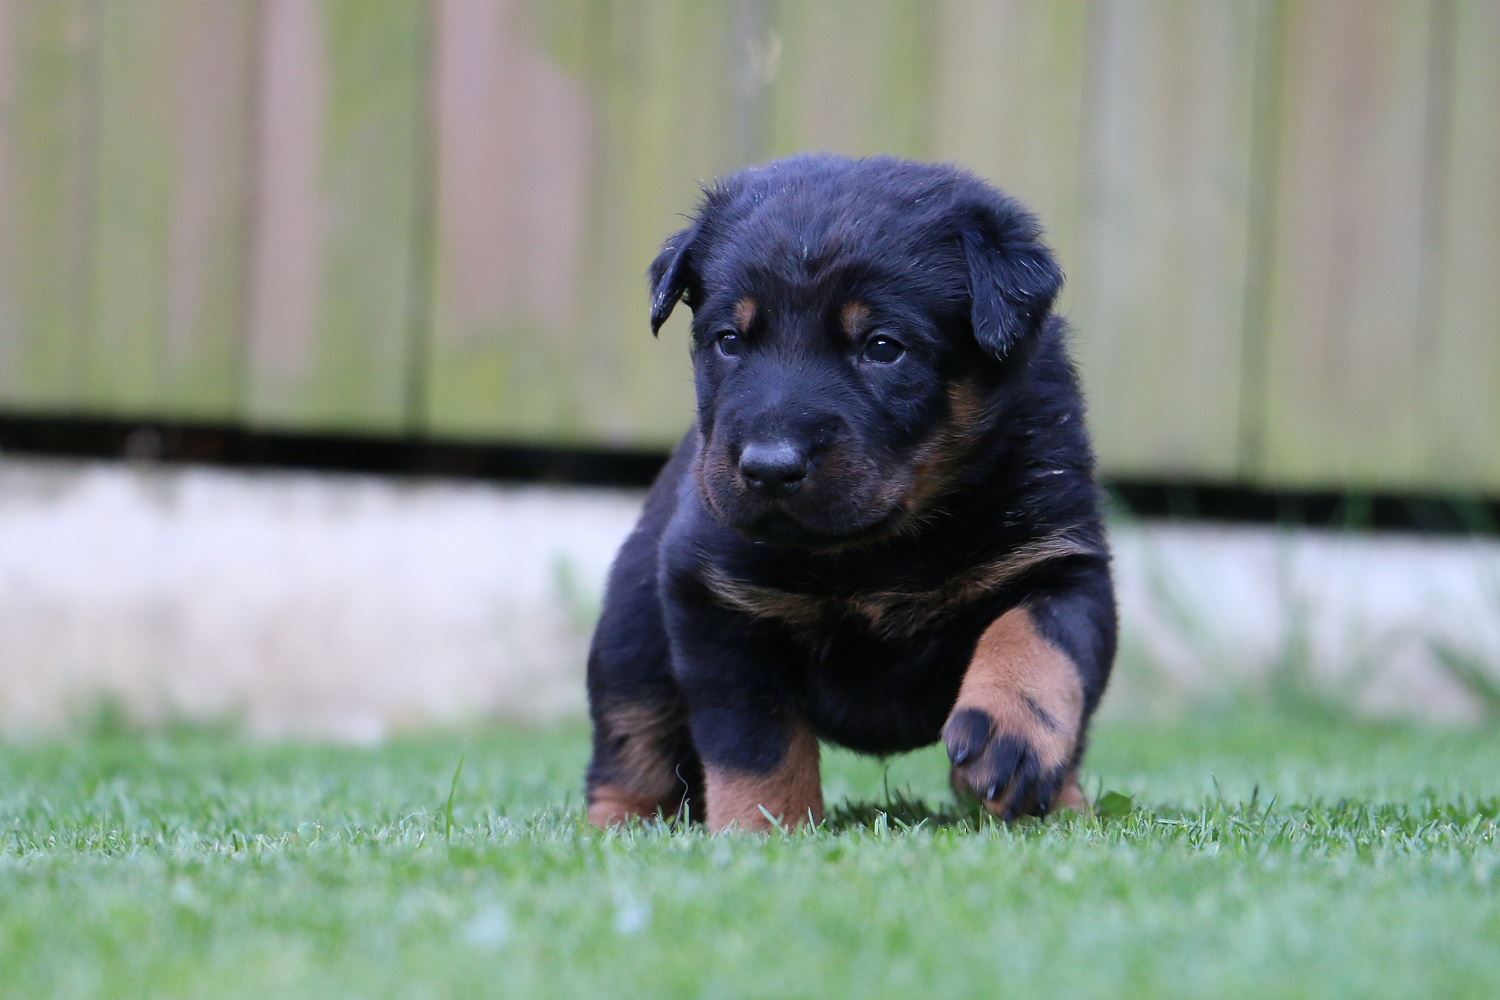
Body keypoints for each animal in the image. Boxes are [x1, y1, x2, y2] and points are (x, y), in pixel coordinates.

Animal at [585, 154, 1116, 827]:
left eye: (883, 348)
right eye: (728, 341)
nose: (770, 467)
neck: (879, 546)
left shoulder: (1061, 557)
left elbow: (1039, 639)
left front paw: (1008, 738)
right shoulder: (714, 597)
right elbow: (755, 743)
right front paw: (767, 829)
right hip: (631, 641)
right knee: (632, 746)